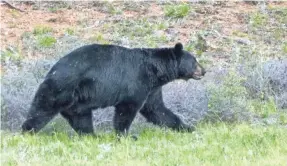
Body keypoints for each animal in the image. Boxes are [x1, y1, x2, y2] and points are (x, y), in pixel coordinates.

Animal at [23, 42, 207, 136]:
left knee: (81, 119)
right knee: (41, 110)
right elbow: (127, 110)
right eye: (194, 61)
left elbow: (157, 109)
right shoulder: (137, 82)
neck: (155, 70)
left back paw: (92, 136)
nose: (204, 70)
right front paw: (125, 135)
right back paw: (27, 131)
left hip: (77, 101)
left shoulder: (152, 89)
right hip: (61, 88)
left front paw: (187, 128)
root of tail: (52, 70)